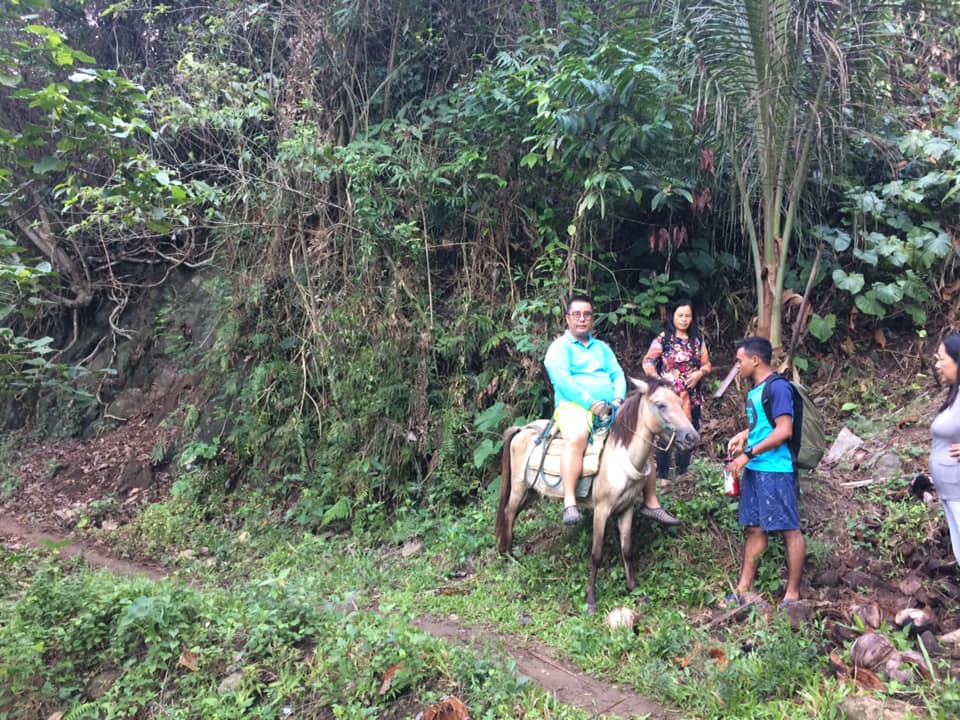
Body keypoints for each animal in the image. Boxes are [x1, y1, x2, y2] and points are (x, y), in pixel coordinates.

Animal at [496, 376, 696, 612]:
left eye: (679, 401)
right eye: (661, 405)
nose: (691, 437)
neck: (619, 457)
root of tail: (521, 430)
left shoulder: (626, 509)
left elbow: (627, 549)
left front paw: (632, 588)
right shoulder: (601, 510)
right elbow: (596, 554)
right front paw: (591, 599)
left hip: (531, 492)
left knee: (513, 513)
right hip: (519, 488)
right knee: (508, 513)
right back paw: (509, 557)